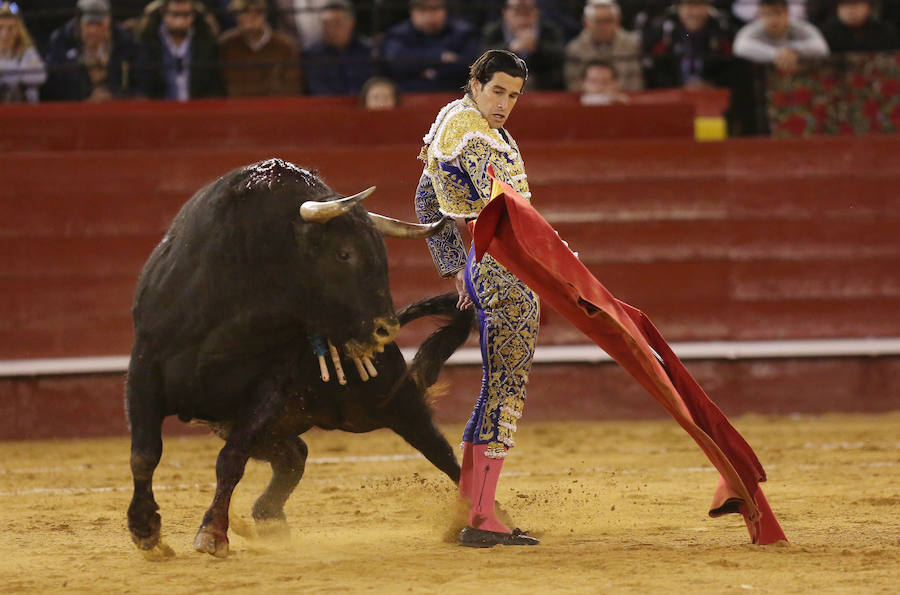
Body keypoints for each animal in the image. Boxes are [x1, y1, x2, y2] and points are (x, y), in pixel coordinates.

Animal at [129, 159, 474, 560]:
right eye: (344, 254)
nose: (385, 328)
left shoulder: (269, 384)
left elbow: (230, 460)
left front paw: (212, 533)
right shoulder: (143, 367)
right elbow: (145, 453)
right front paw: (145, 530)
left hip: (390, 403)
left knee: (440, 450)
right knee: (296, 453)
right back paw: (268, 517)